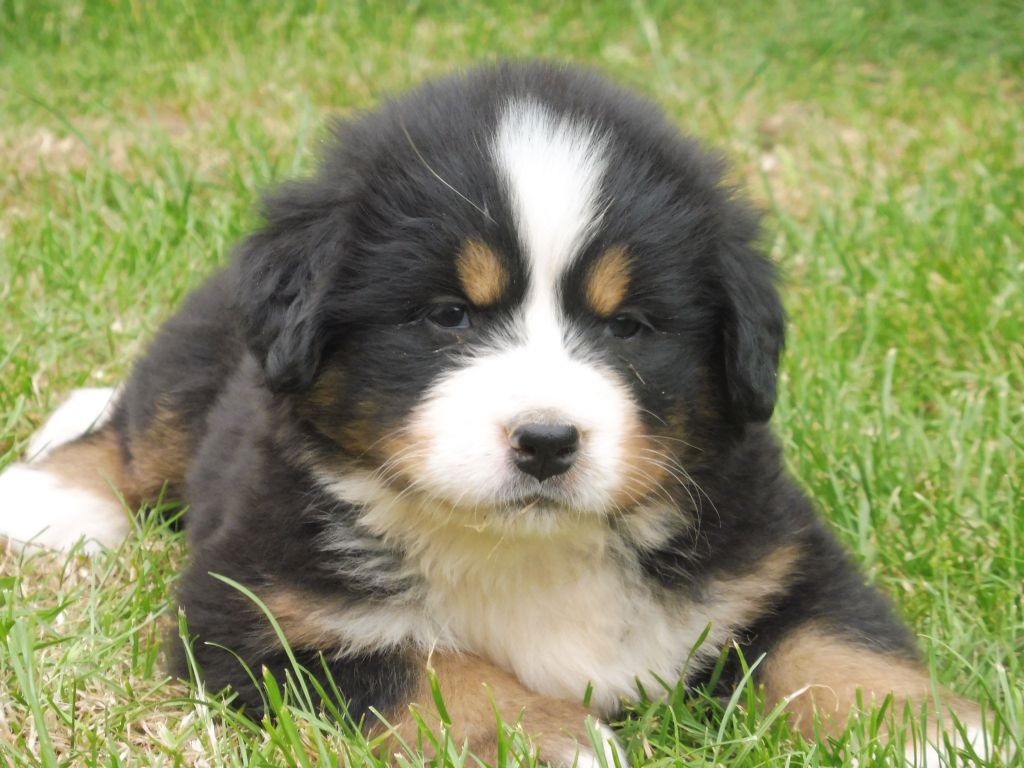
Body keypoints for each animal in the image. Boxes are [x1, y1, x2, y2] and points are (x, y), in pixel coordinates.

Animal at [0, 63, 995, 765]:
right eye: (448, 316)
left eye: (629, 325)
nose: (547, 442)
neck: (531, 550)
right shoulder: (253, 613)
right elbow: (428, 668)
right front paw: (544, 737)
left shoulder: (774, 555)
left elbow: (835, 640)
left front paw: (926, 731)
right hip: (201, 363)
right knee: (134, 435)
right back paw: (52, 500)